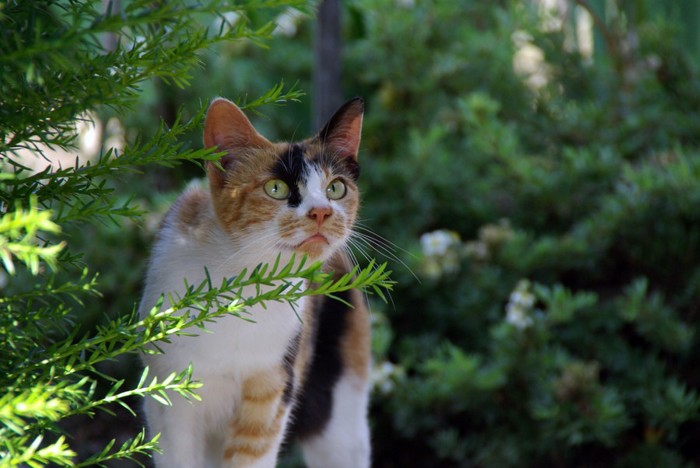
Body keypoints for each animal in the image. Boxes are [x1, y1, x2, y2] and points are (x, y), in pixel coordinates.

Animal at [137, 96, 372, 468]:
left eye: (335, 188)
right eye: (276, 188)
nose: (322, 211)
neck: (244, 288)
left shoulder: (271, 392)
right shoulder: (170, 400)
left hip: (341, 418)